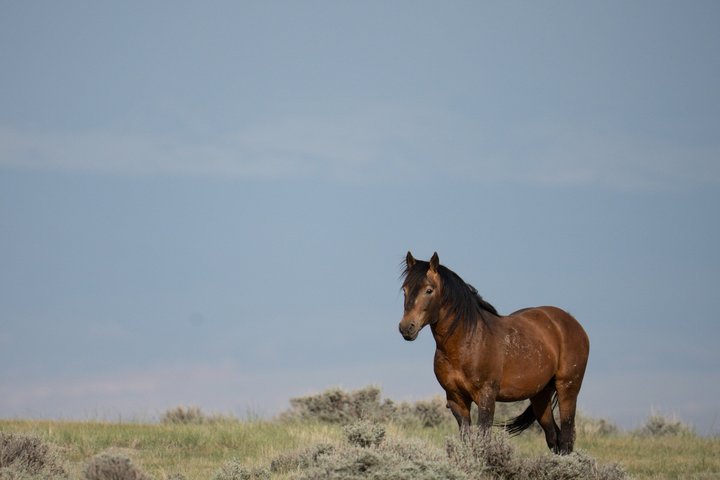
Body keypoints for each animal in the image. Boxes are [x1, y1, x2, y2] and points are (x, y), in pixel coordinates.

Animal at [398, 252, 589, 454]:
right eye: (405, 290)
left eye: (429, 290)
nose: (406, 327)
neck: (467, 342)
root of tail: (573, 324)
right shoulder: (456, 399)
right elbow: (466, 438)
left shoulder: (486, 398)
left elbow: (483, 438)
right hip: (541, 396)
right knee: (554, 437)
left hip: (567, 389)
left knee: (567, 436)